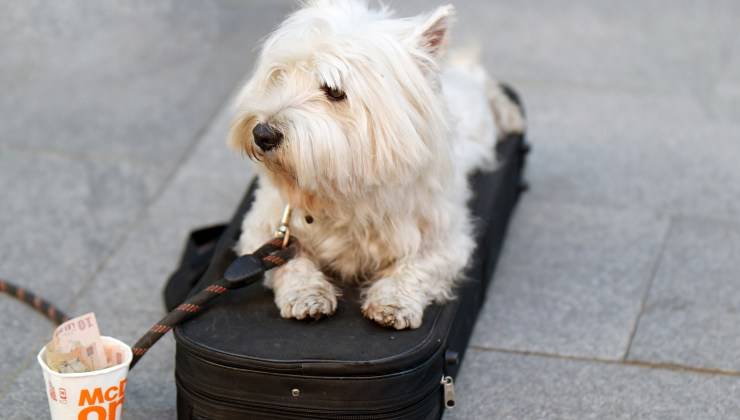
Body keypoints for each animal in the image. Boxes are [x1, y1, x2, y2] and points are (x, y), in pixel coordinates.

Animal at [228, 0, 524, 328]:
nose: (262, 134)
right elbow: (289, 263)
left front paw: (393, 302)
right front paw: (307, 295)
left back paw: (512, 116)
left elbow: (418, 265)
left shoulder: (445, 239)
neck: (344, 190)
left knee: (488, 86)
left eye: (334, 91)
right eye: (279, 75)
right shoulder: (263, 228)